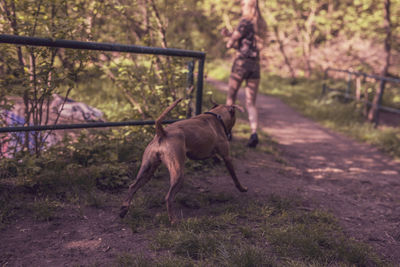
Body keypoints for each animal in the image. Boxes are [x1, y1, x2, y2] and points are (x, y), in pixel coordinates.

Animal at [119, 98, 247, 224]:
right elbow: (235, 177)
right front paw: (242, 188)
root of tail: (162, 133)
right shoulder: (227, 157)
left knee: (133, 186)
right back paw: (173, 220)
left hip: (147, 169)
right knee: (169, 197)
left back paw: (123, 210)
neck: (217, 116)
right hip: (178, 173)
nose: (230, 136)